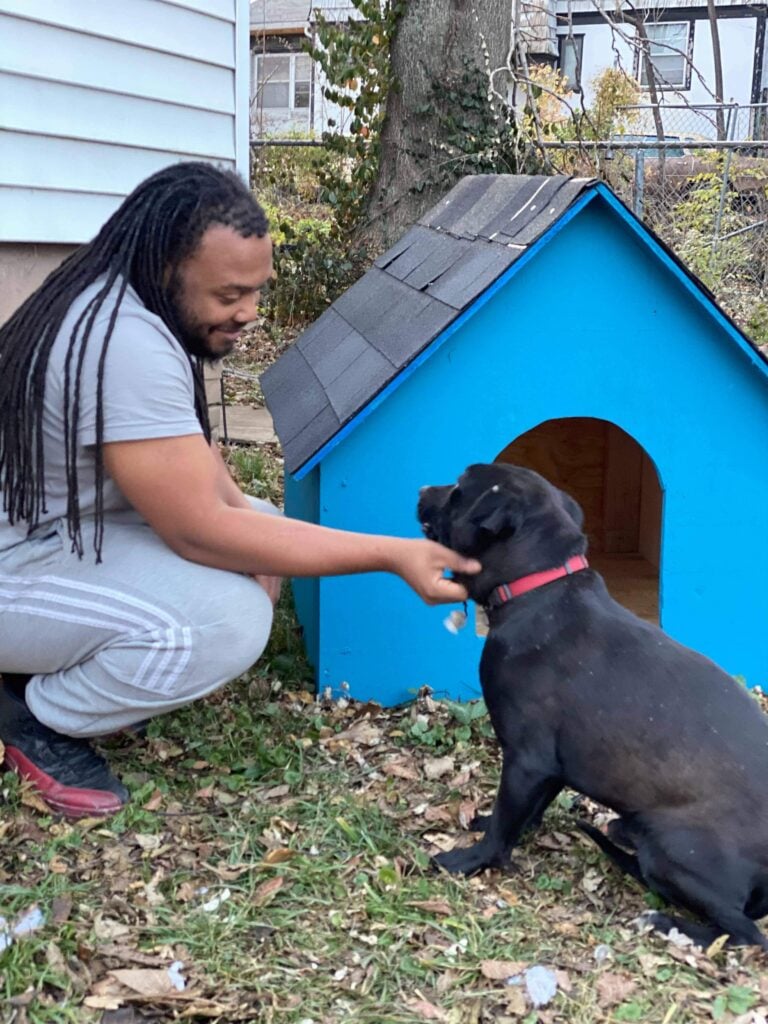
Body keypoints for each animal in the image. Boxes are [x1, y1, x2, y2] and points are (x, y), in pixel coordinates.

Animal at [417, 460, 768, 946]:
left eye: (458, 491)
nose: (421, 490)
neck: (538, 588)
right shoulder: (551, 767)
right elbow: (523, 813)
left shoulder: (527, 759)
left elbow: (506, 820)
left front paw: (471, 859)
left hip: (675, 846)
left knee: (743, 933)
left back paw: (667, 925)